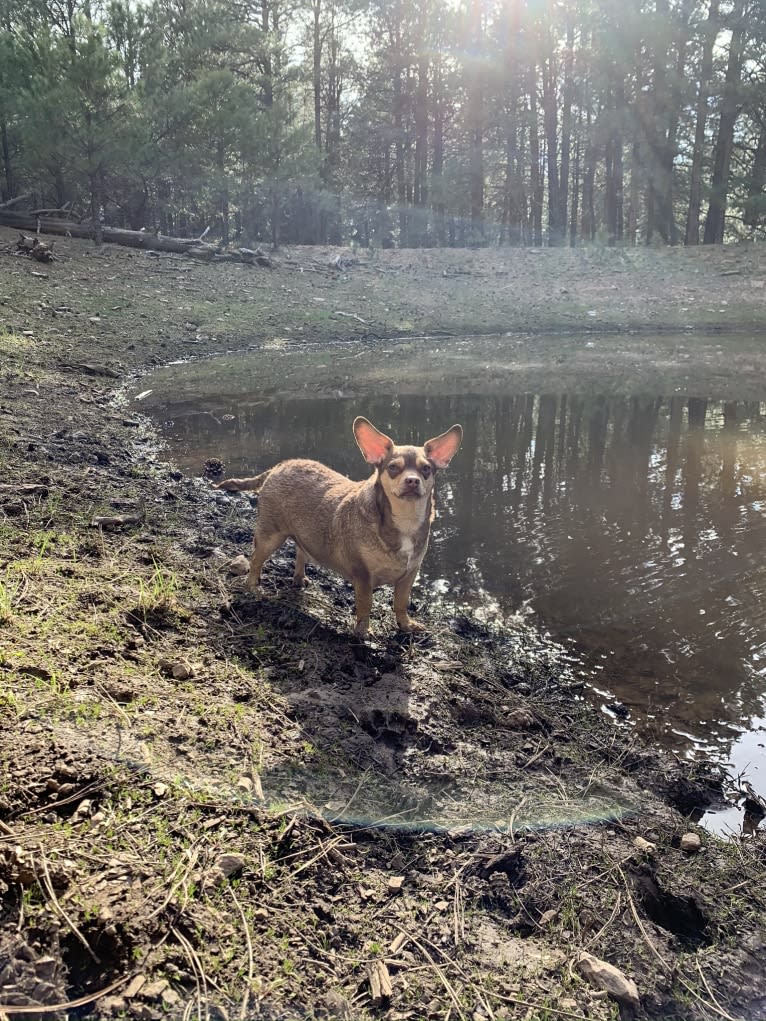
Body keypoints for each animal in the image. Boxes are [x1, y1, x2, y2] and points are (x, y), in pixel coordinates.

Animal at [216, 416, 467, 637]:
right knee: (256, 560)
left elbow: (401, 603)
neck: (404, 519)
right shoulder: (363, 576)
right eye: (393, 468)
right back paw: (253, 587)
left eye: (426, 470)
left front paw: (405, 625)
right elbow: (365, 604)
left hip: (302, 534)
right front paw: (363, 632)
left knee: (300, 551)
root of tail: (280, 465)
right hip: (270, 537)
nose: (413, 481)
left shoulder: (409, 575)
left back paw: (299, 578)